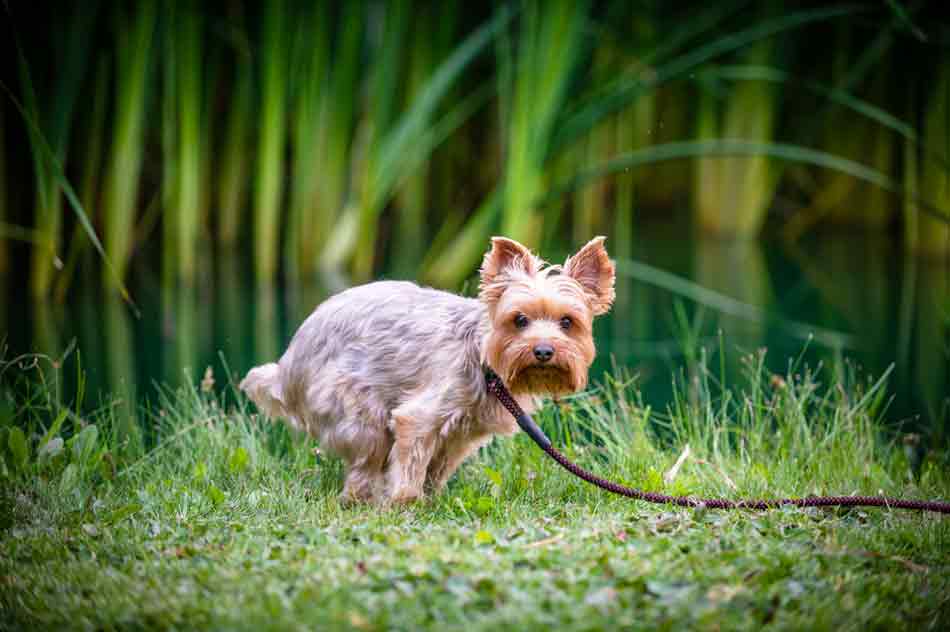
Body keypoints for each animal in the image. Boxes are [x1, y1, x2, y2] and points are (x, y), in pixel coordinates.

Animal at [240, 237, 616, 504]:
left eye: (567, 322)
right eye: (519, 319)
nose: (543, 350)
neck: (483, 358)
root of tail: (289, 366)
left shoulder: (460, 435)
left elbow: (436, 468)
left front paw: (431, 499)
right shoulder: (420, 417)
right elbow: (410, 464)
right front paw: (405, 502)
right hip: (356, 407)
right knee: (365, 464)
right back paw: (362, 499)